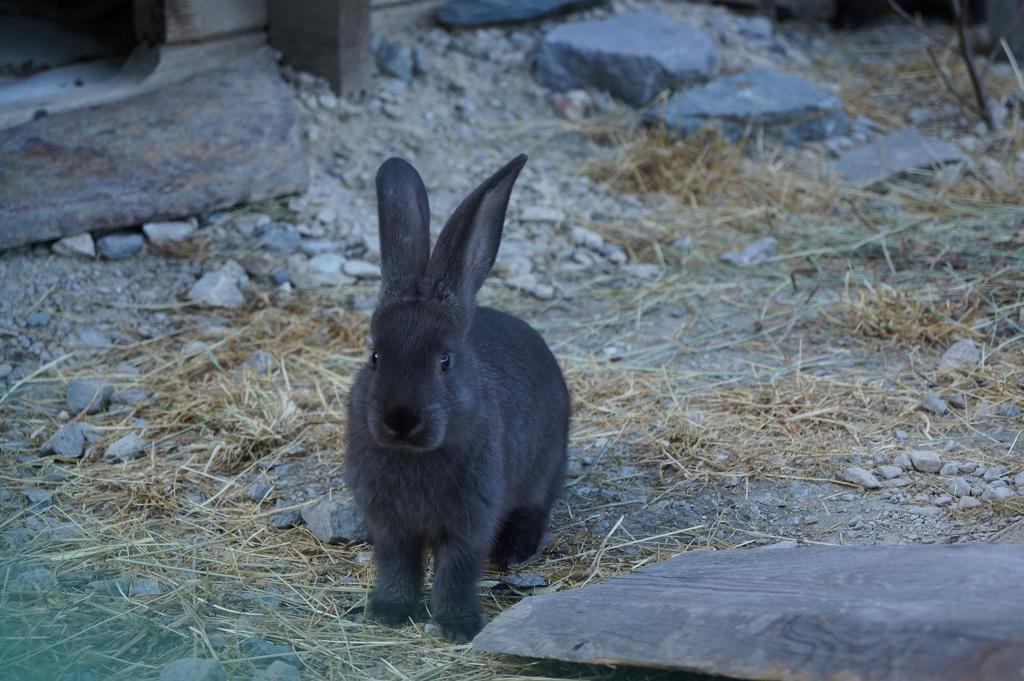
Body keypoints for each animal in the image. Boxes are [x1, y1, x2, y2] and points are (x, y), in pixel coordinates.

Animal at [342, 153, 569, 643]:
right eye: (374, 356)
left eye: (444, 360)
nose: (400, 419)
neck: (414, 457)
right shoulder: (390, 526)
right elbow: (396, 568)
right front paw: (388, 613)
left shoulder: (469, 524)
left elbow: (455, 574)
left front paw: (458, 627)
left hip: (546, 466)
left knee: (536, 508)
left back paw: (514, 552)